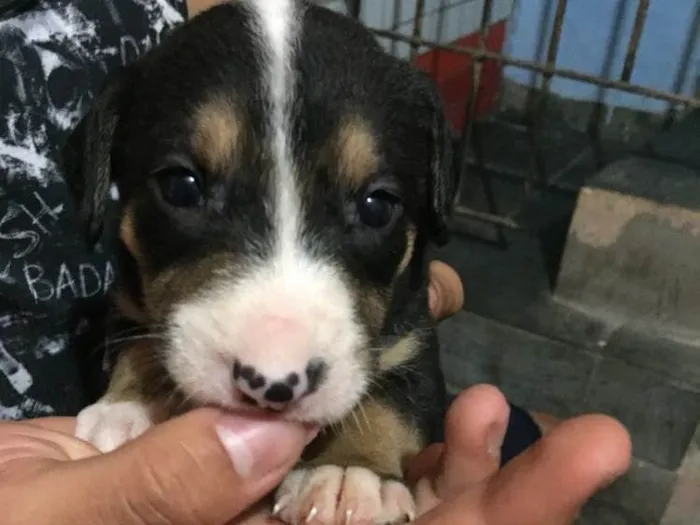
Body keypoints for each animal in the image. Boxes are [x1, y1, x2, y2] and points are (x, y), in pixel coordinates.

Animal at [64, 2, 460, 520]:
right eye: (180, 187)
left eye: (378, 207)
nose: (272, 384)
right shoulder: (128, 303)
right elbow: (142, 342)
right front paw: (128, 409)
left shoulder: (415, 335)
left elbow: (393, 400)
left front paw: (349, 474)